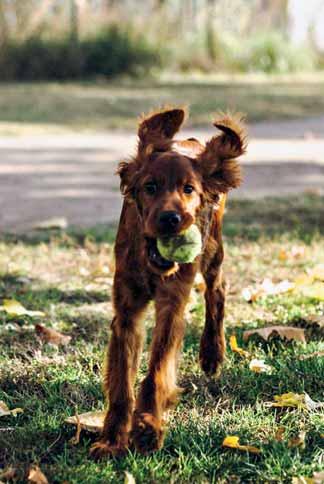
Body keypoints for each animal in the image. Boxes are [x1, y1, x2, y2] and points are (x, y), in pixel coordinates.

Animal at [90, 106, 247, 458]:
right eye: (149, 186)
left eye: (189, 189)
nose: (171, 219)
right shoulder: (127, 312)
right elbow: (121, 383)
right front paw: (112, 439)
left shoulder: (171, 305)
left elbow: (156, 372)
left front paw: (147, 428)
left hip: (212, 249)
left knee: (217, 290)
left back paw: (212, 352)